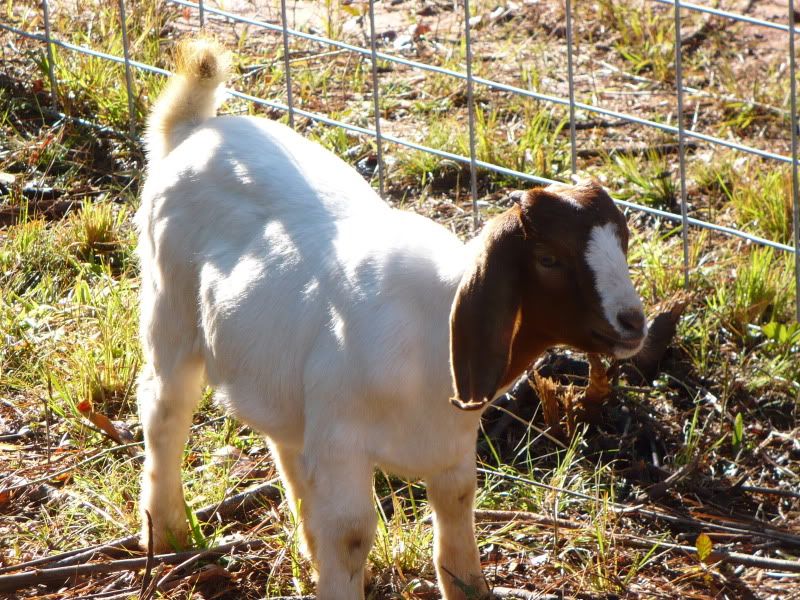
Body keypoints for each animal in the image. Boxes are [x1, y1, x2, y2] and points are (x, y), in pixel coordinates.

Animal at [136, 39, 647, 600]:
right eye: (549, 258)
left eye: (622, 242)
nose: (633, 323)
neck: (435, 326)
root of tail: (193, 130)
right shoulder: (343, 440)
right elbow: (352, 534)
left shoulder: (450, 444)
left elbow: (457, 515)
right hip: (169, 309)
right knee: (164, 410)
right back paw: (167, 530)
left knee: (284, 443)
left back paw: (302, 546)